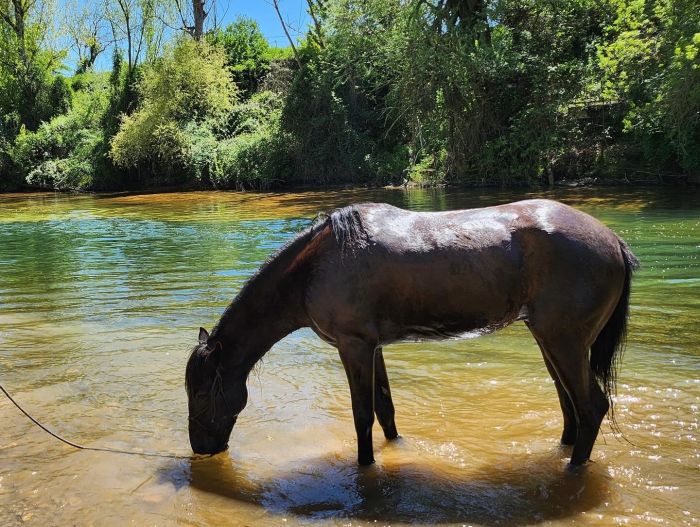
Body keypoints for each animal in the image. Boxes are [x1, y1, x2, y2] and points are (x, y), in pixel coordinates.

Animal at [186, 200, 640, 468]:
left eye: (204, 392)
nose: (201, 447)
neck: (315, 266)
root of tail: (615, 241)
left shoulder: (353, 346)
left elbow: (362, 416)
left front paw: (366, 466)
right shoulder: (372, 347)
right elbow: (385, 410)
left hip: (565, 342)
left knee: (592, 407)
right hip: (551, 342)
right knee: (571, 408)